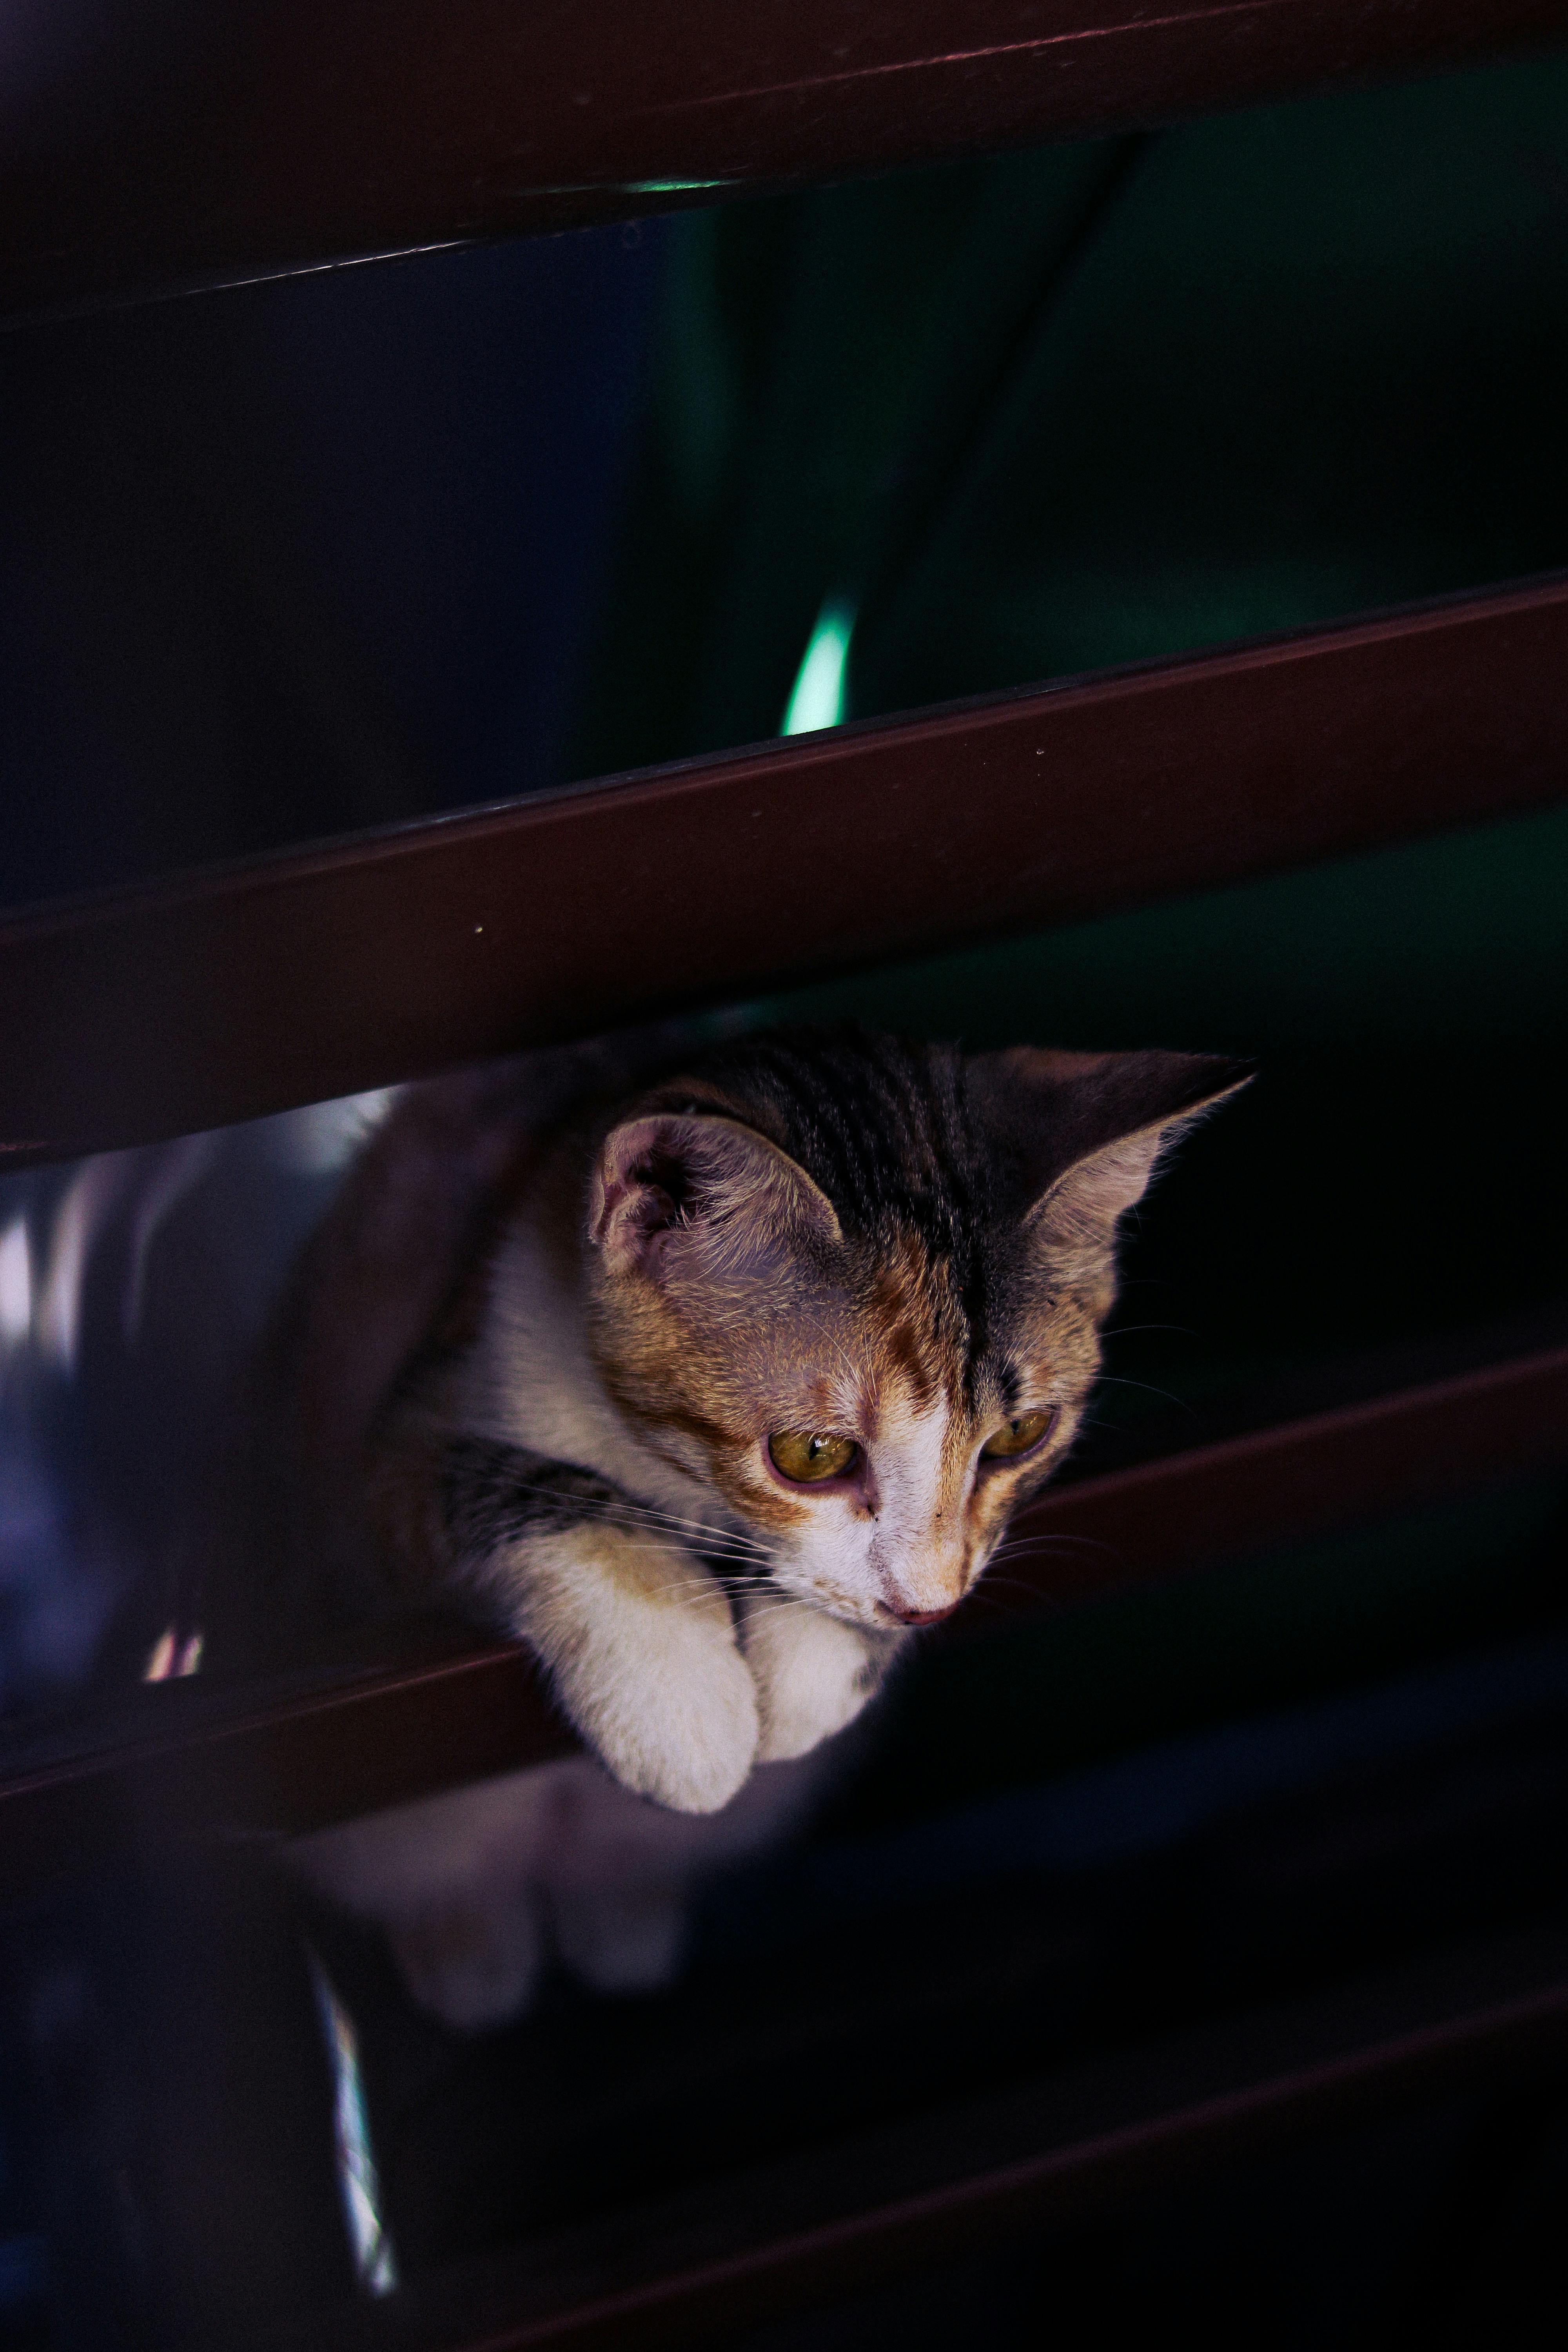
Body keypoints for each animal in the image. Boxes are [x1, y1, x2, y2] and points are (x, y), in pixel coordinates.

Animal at [200, 1025, 1250, 2023]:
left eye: (1021, 1437)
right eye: (812, 1454)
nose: (924, 1606)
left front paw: (818, 1665)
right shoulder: (362, 1476)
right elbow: (510, 1480)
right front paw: (672, 1693)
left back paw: (620, 1925)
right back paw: (465, 1950)